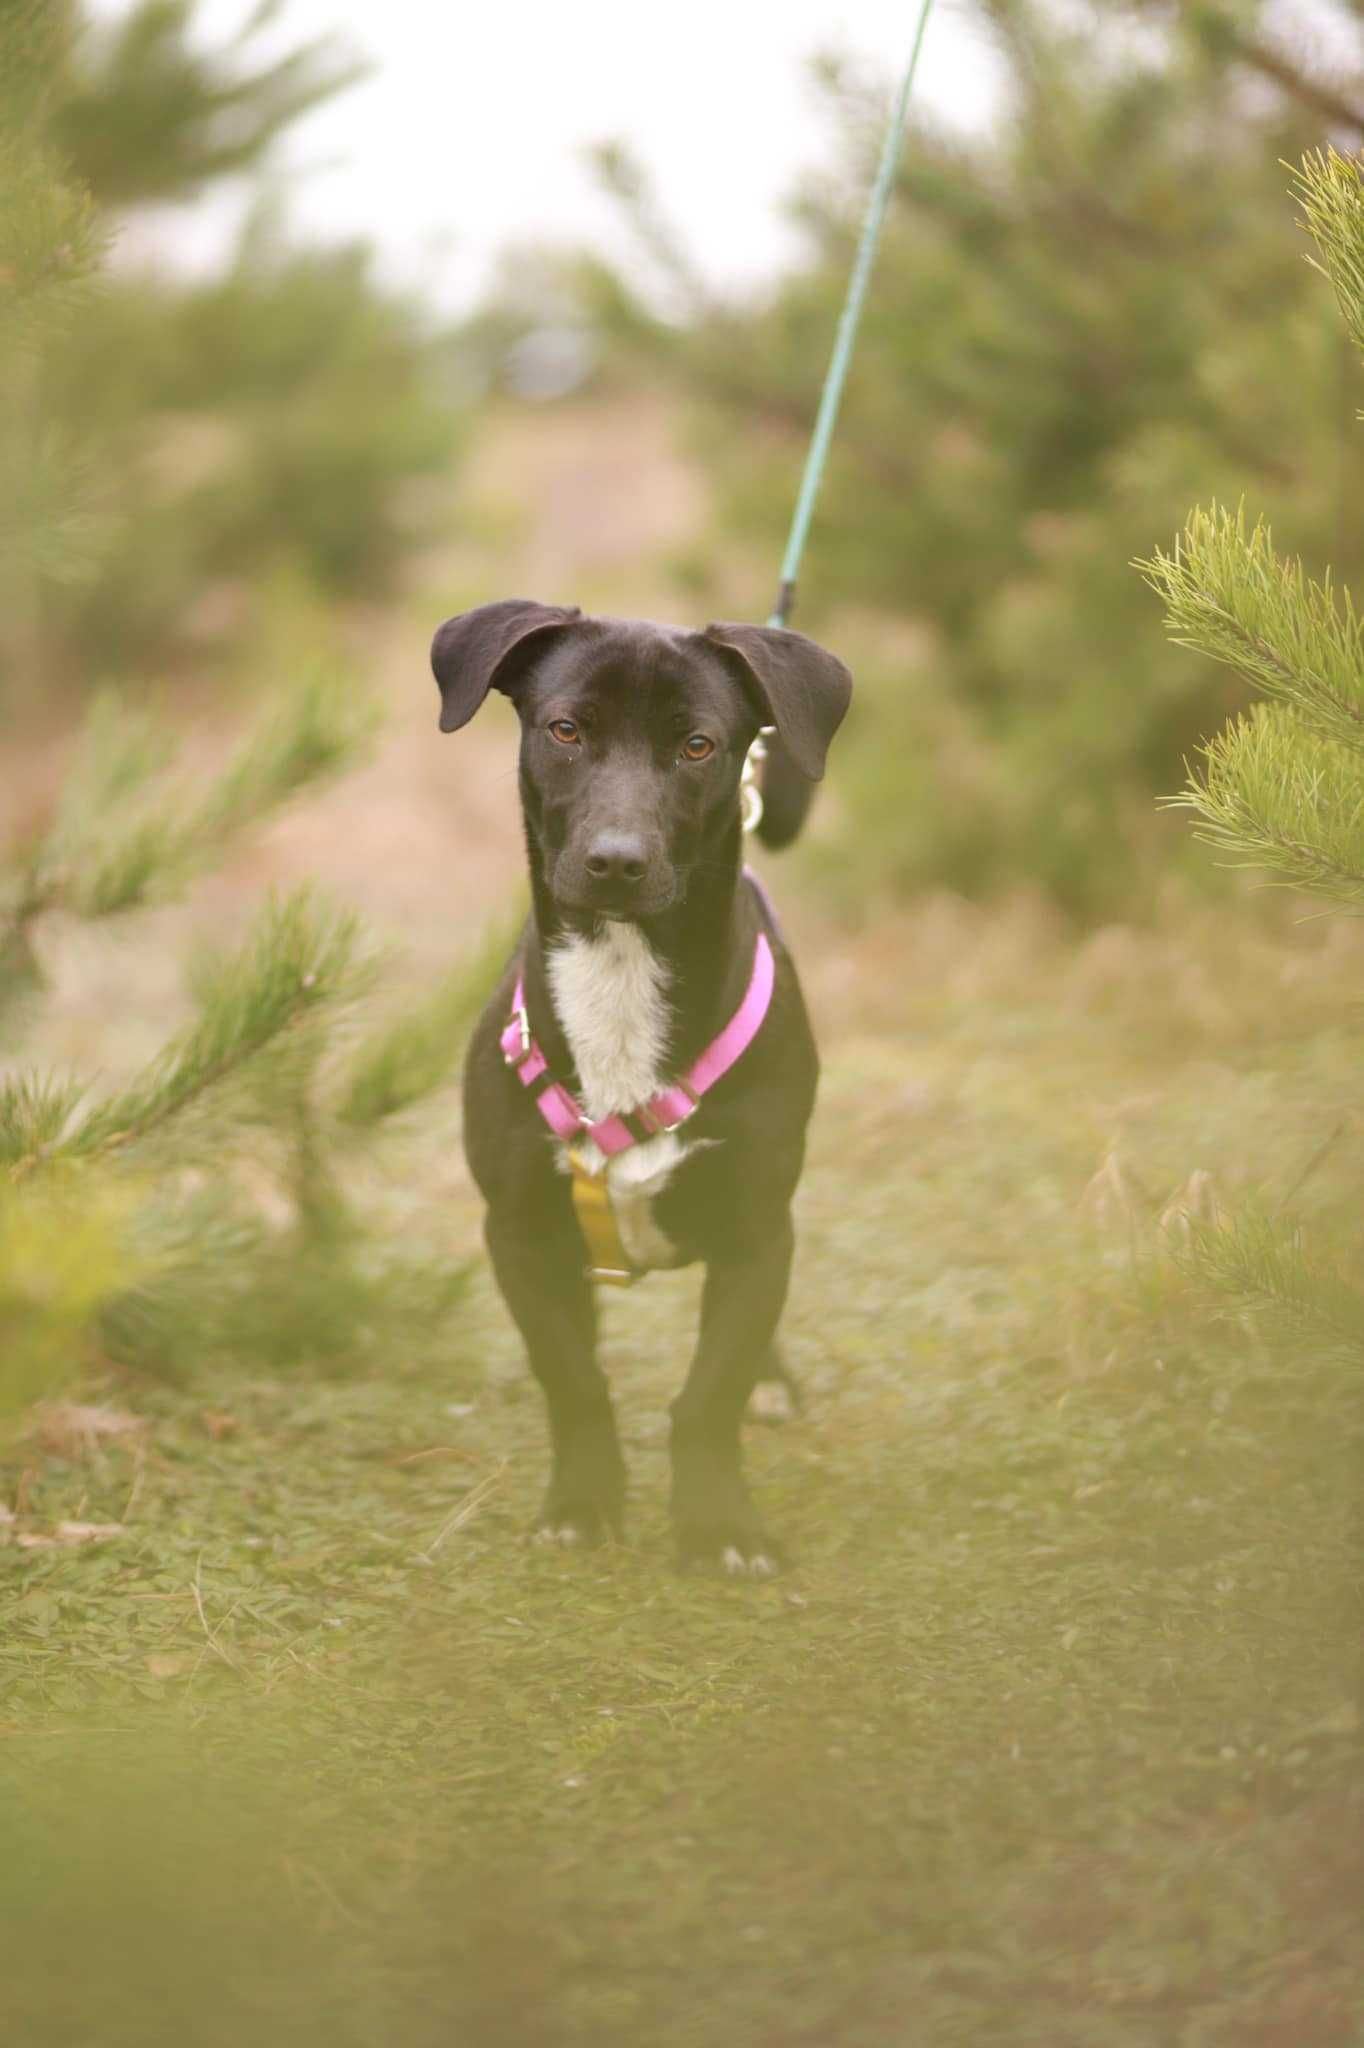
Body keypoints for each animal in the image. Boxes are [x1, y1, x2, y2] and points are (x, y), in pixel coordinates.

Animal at [432, 598, 851, 1572]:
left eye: (698, 744)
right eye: (566, 729)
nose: (617, 861)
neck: (621, 978)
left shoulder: (757, 1232)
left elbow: (713, 1391)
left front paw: (718, 1523)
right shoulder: (518, 1234)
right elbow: (573, 1377)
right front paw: (582, 1505)